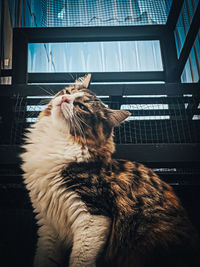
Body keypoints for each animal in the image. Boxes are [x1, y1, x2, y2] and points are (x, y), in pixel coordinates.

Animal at [20, 74, 198, 267]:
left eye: (81, 107)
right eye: (67, 91)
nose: (65, 98)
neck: (58, 140)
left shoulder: (93, 215)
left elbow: (80, 258)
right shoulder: (48, 226)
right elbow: (45, 257)